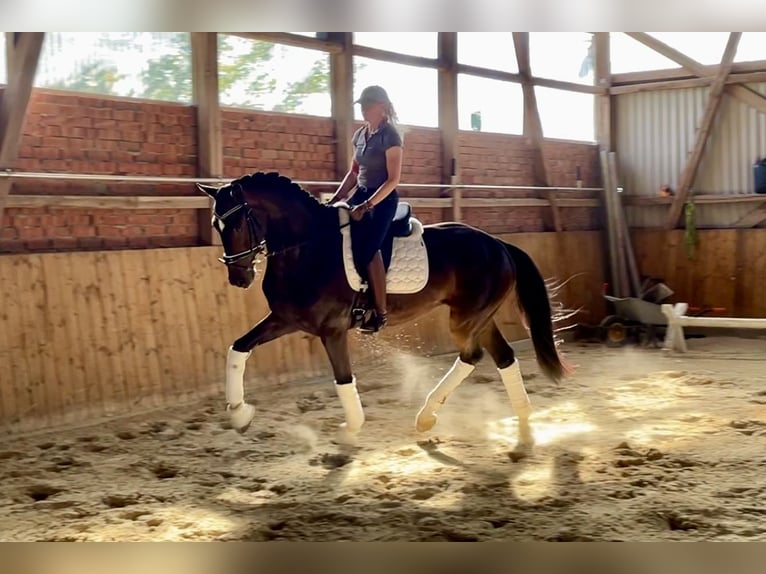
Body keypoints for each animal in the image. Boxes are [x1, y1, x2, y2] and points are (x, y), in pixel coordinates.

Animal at [198, 171, 568, 446]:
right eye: (217, 225)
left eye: (236, 223)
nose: (239, 278)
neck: (307, 248)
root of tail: (498, 243)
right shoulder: (286, 319)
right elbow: (238, 348)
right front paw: (239, 413)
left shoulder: (331, 329)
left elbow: (343, 378)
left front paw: (350, 431)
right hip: (480, 316)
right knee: (503, 357)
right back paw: (522, 427)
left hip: (466, 318)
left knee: (472, 356)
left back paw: (429, 417)